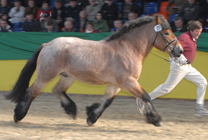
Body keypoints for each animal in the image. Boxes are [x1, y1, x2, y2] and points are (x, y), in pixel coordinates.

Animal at [5, 14, 183, 126]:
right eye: (166, 32)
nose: (179, 50)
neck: (127, 49)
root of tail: (47, 44)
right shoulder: (129, 82)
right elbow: (146, 96)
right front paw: (156, 119)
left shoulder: (117, 85)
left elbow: (107, 101)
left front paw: (91, 117)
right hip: (45, 75)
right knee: (32, 92)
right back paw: (18, 116)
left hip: (67, 76)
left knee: (57, 90)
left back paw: (71, 110)